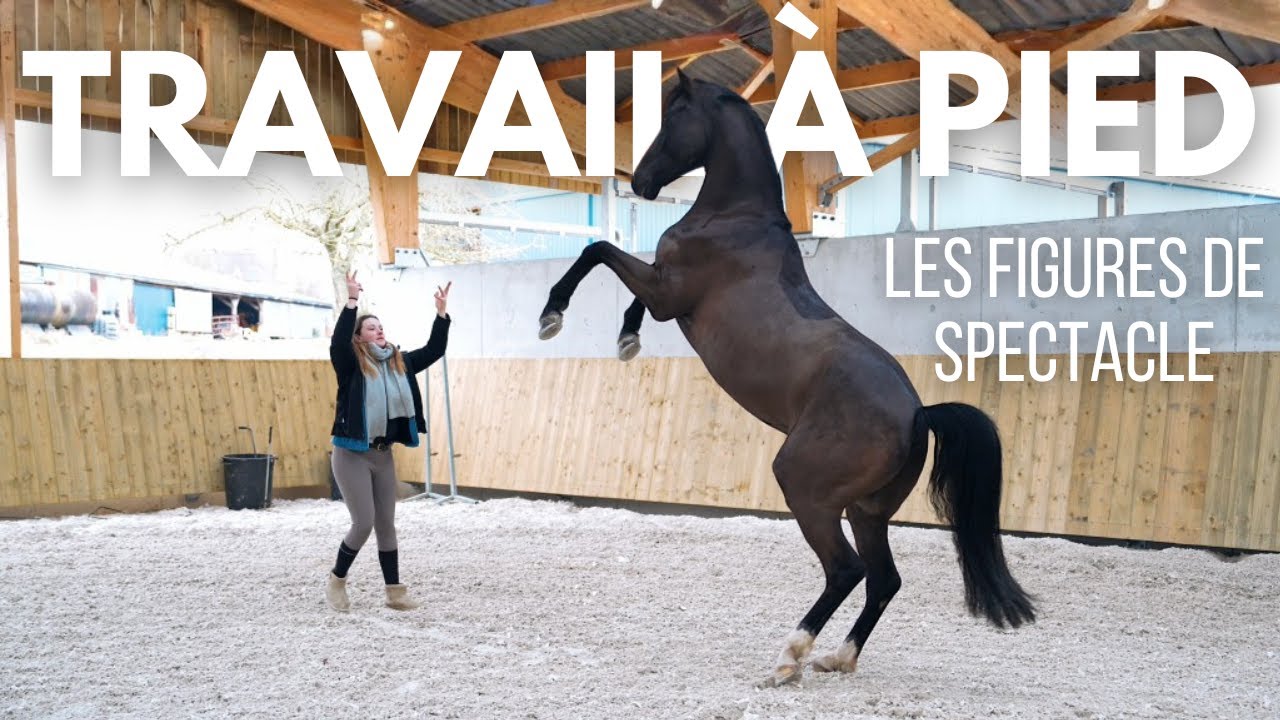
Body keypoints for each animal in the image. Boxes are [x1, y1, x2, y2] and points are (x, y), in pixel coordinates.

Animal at [537, 69, 1035, 688]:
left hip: (805, 488)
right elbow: (625, 285)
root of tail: (919, 414)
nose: (643, 182)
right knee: (883, 579)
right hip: (867, 510)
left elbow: (598, 251)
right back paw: (836, 658)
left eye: (673, 116)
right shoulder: (664, 292)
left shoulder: (668, 291)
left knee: (845, 571)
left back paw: (789, 657)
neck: (736, 220)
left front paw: (552, 316)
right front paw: (626, 339)